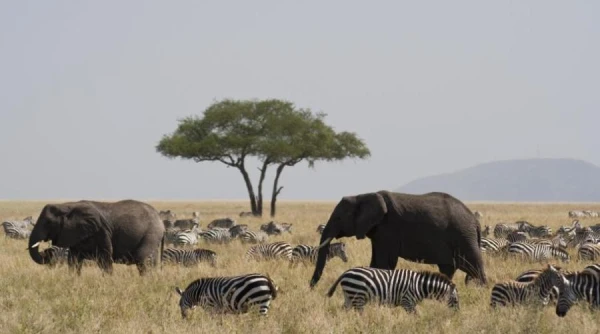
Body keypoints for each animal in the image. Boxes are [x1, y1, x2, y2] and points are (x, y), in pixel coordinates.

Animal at [27, 200, 164, 276]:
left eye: (48, 223)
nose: (46, 252)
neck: (67, 206)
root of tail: (160, 220)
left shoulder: (101, 231)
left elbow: (105, 257)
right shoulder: (76, 234)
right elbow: (73, 260)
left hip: (151, 234)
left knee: (142, 259)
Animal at [310, 190, 488, 288]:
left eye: (339, 218)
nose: (311, 287)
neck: (362, 196)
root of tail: (476, 222)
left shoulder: (388, 228)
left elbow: (385, 262)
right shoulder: (378, 231)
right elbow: (376, 261)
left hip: (464, 236)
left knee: (475, 267)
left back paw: (482, 290)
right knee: (448, 268)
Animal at [326, 266, 458, 314]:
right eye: (455, 299)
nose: (457, 314)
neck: (419, 286)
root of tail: (346, 272)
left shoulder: (410, 304)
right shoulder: (407, 302)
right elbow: (416, 316)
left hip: (349, 296)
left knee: (344, 311)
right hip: (358, 297)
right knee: (359, 313)